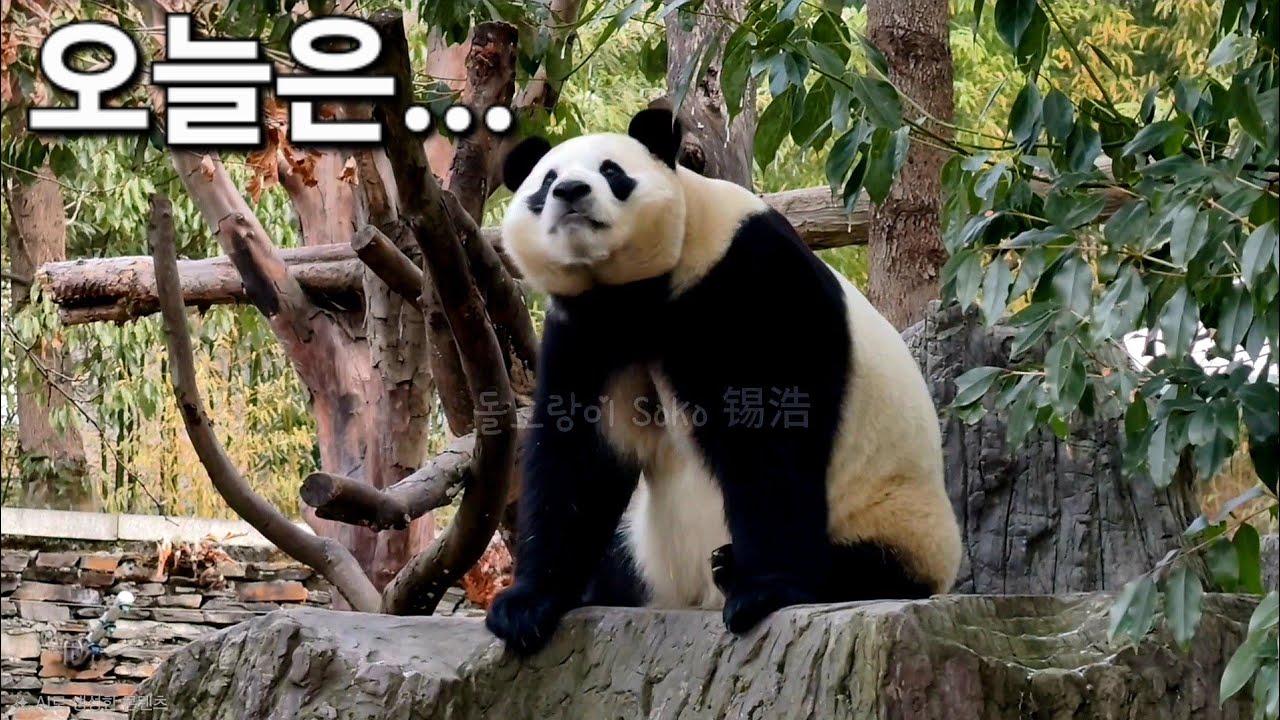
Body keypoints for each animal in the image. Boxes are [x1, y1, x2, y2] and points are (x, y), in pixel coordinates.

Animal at [484, 107, 962, 656]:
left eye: (611, 171)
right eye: (546, 180)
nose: (571, 192)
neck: (637, 294)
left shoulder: (742, 277)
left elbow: (769, 437)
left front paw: (765, 590)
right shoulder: (589, 330)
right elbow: (579, 456)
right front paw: (526, 606)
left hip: (897, 517)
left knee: (869, 564)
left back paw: (734, 566)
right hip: (644, 548)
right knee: (620, 560)